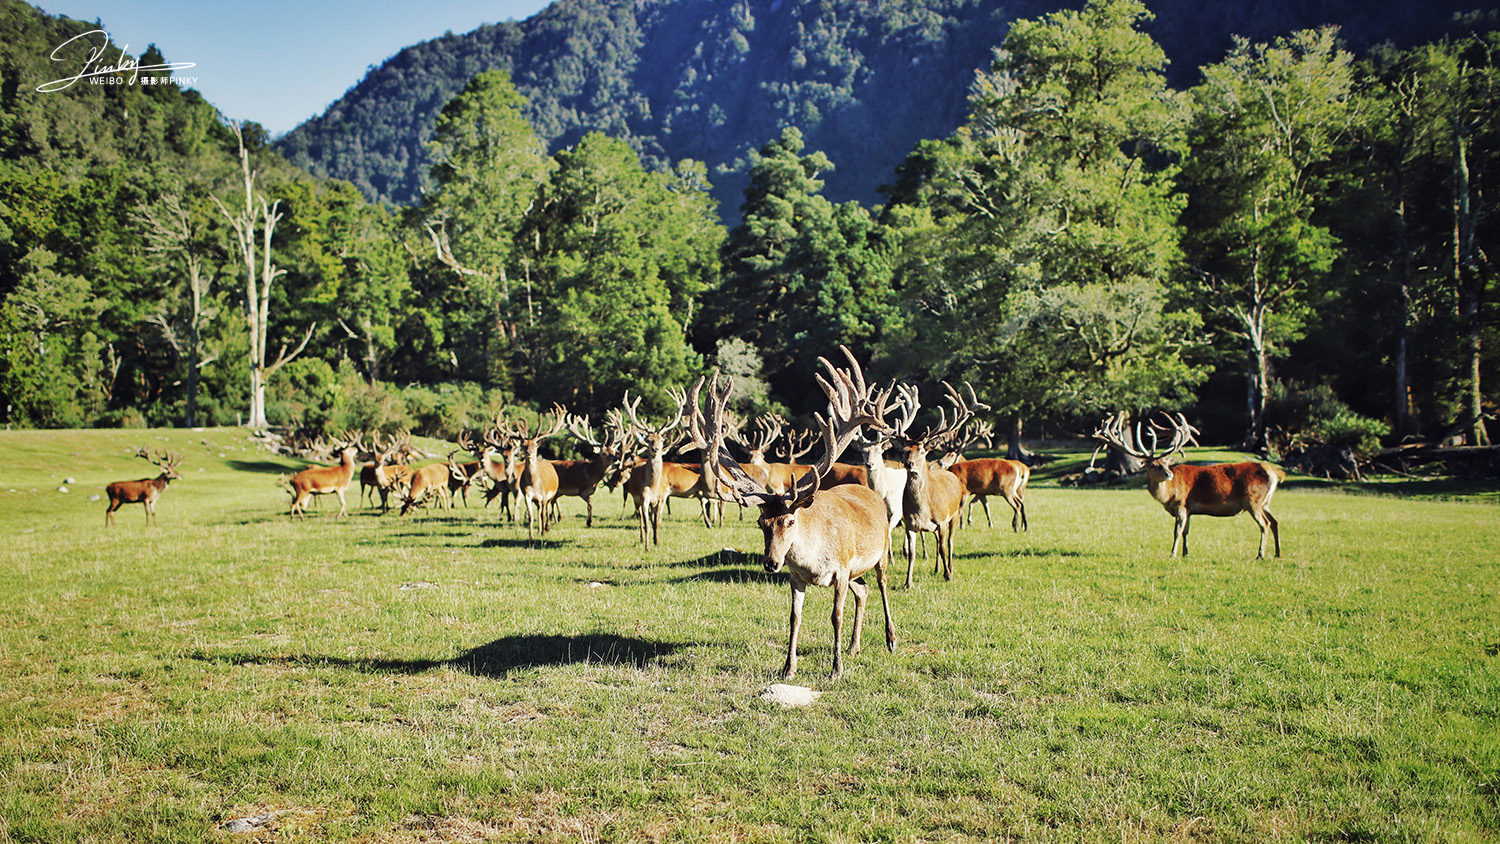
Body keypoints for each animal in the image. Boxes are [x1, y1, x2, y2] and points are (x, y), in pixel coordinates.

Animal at [687, 346, 894, 683]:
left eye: (790, 520)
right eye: (761, 523)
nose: (771, 563)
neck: (814, 561)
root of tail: (871, 493)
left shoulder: (841, 568)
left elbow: (835, 615)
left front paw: (836, 669)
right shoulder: (797, 576)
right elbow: (794, 618)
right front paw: (788, 668)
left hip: (882, 551)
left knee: (882, 584)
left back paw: (890, 639)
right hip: (855, 571)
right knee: (862, 591)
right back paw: (854, 647)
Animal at [888, 383, 984, 587]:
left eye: (922, 450)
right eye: (904, 451)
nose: (909, 463)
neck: (923, 510)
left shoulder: (941, 520)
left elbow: (943, 548)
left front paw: (948, 575)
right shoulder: (910, 525)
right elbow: (912, 554)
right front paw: (908, 583)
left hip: (954, 514)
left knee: (949, 542)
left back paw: (949, 569)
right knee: (938, 543)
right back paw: (937, 568)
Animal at [1092, 410, 1290, 557]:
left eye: (1166, 463)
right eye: (1154, 465)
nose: (1169, 474)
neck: (1169, 495)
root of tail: (1275, 472)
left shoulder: (1182, 504)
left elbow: (1177, 531)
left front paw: (1173, 553)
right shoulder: (1189, 509)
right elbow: (1186, 531)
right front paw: (1186, 553)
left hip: (1252, 500)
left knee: (1264, 525)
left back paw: (1260, 554)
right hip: (1265, 502)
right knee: (1275, 522)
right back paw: (1277, 553)